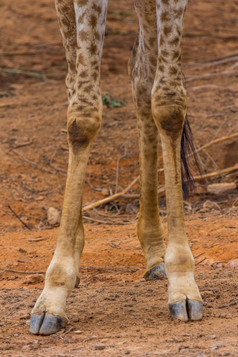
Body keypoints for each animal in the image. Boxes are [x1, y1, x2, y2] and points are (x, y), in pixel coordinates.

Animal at [29, 0, 203, 334]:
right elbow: (82, 117)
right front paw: (52, 295)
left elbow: (169, 104)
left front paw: (183, 284)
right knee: (74, 83)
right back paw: (74, 254)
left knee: (141, 77)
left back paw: (156, 254)